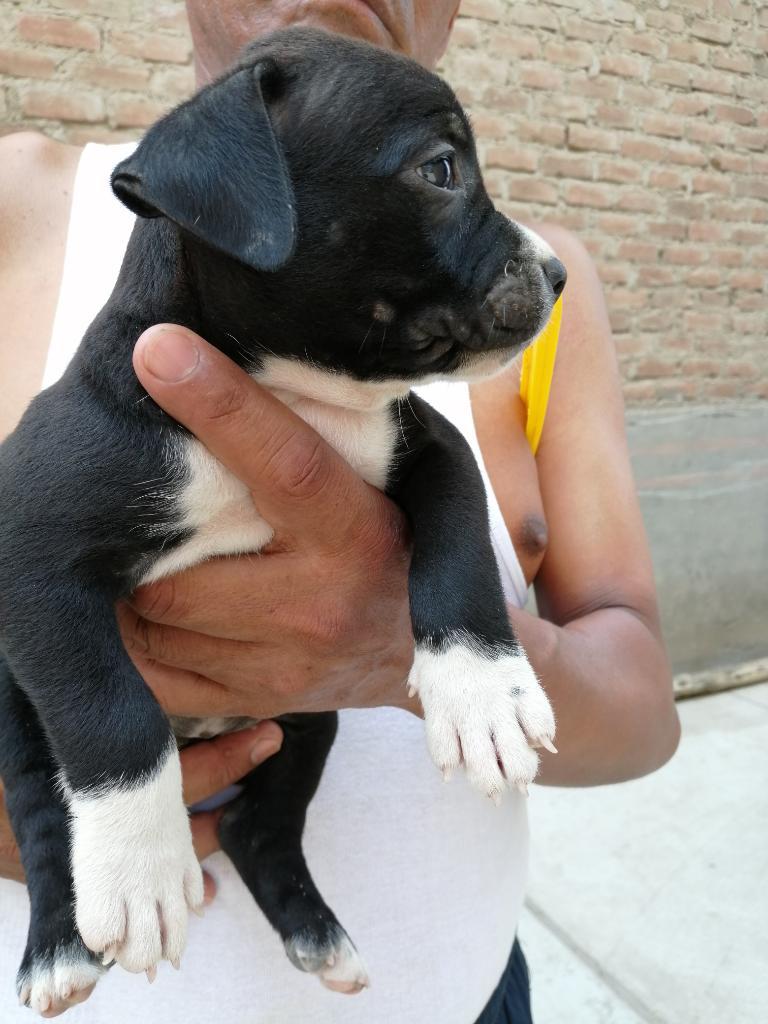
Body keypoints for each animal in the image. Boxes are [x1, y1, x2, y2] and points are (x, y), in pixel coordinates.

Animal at [0, 25, 565, 1015]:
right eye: (441, 169)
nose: (561, 272)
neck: (292, 393)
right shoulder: (33, 557)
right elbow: (112, 712)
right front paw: (143, 872)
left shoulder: (428, 447)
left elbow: (459, 544)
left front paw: (484, 692)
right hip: (11, 706)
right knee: (42, 804)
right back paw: (61, 947)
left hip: (305, 717)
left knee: (261, 831)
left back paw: (318, 935)